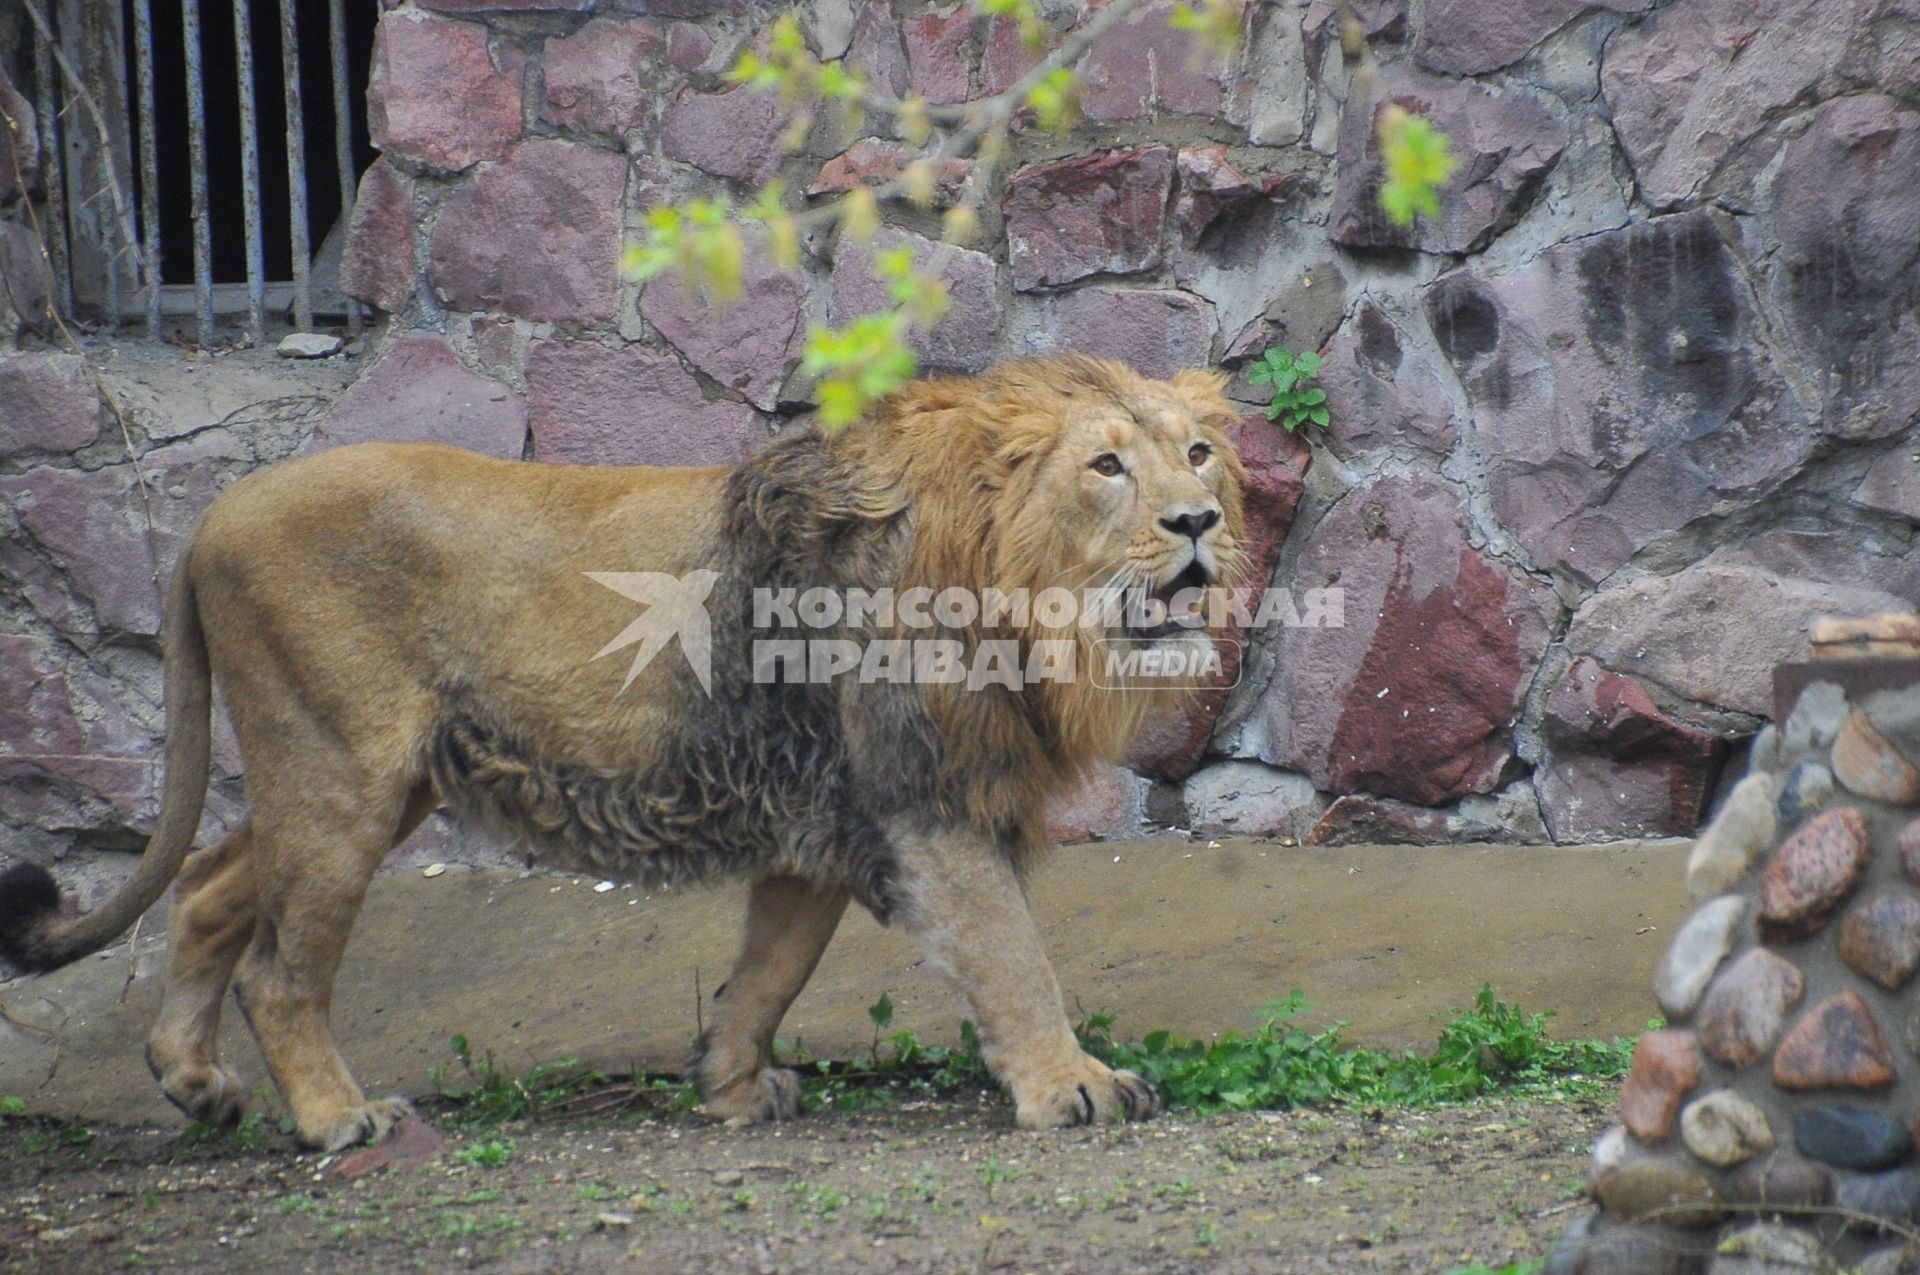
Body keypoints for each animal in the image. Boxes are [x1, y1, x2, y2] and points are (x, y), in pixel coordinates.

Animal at [0, 353, 1251, 1152]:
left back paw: (192, 1081)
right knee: (276, 968)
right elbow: (1012, 956)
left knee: (211, 888)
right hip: (339, 769)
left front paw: (729, 1086)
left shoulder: (824, 813)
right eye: (1106, 467)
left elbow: (770, 967)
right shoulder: (923, 800)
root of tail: (211, 515)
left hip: (366, 778)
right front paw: (1074, 1087)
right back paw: (333, 1120)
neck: (1023, 600)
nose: (1200, 523)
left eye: (1197, 454)